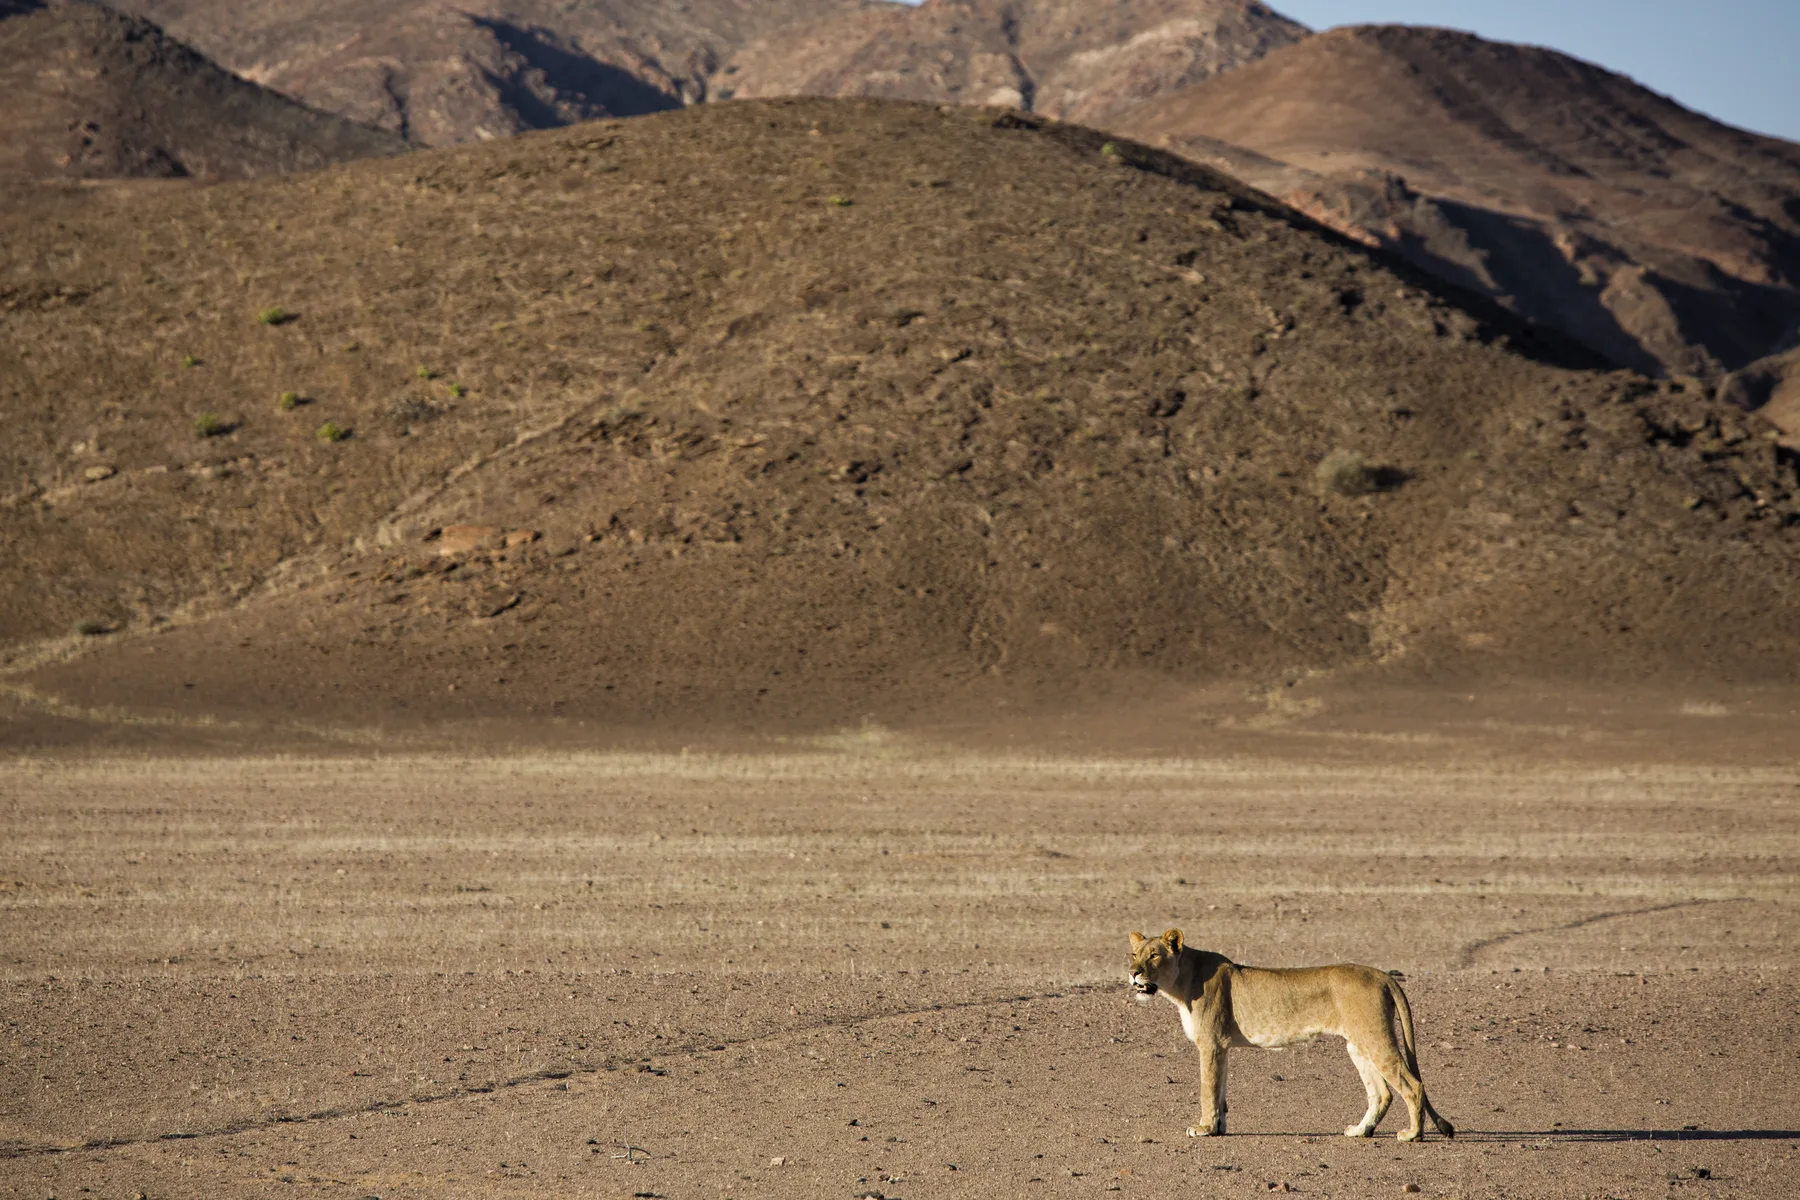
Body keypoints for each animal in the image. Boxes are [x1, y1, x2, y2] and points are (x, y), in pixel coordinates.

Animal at [1126, 929, 1455, 1142]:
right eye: (1133, 954)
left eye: (1154, 956)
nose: (1132, 973)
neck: (1182, 982)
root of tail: (1381, 974)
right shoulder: (1222, 1047)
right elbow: (1220, 1091)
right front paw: (1218, 1127)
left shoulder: (1210, 1043)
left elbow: (1207, 1090)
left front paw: (1203, 1129)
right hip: (1357, 1043)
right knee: (1382, 1093)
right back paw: (1361, 1131)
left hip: (1374, 1037)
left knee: (1413, 1085)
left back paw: (1412, 1135)